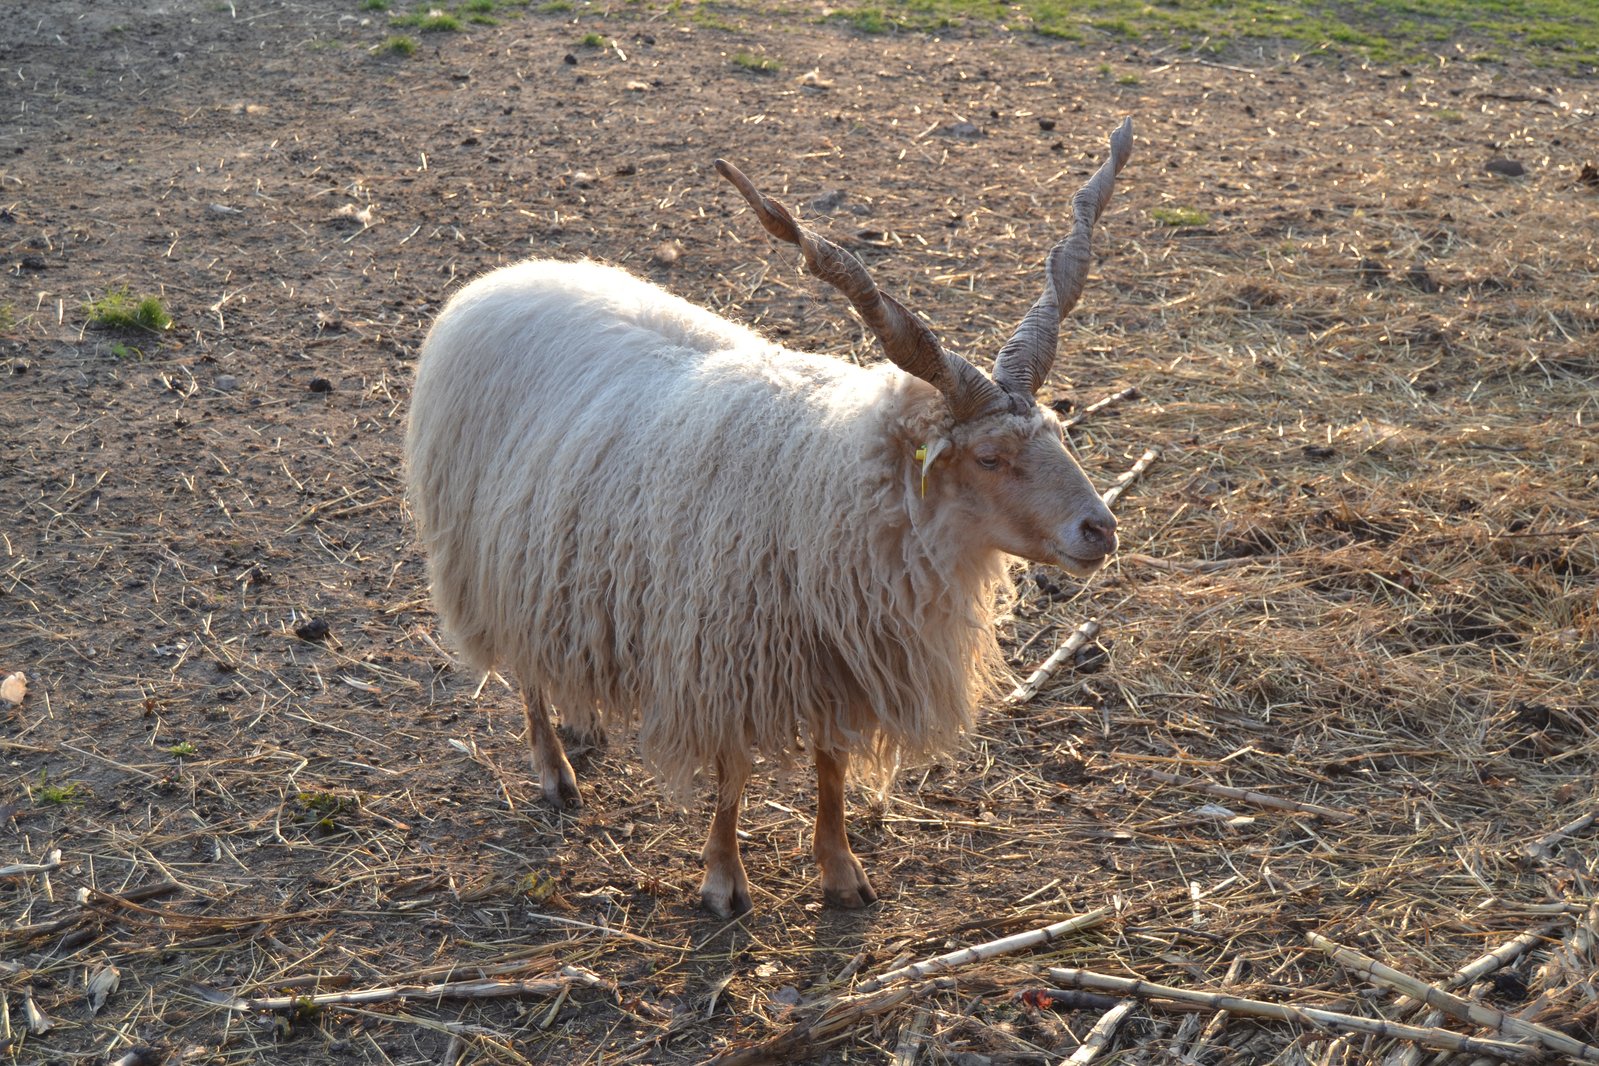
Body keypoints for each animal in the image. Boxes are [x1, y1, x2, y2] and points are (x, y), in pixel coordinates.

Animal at [409, 116, 1138, 920]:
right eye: (987, 458)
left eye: (1058, 432)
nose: (1099, 529)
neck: (825, 481)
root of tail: (504, 279)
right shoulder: (723, 653)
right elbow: (731, 776)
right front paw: (724, 881)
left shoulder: (838, 658)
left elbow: (830, 767)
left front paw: (841, 872)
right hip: (492, 555)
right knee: (526, 673)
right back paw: (554, 770)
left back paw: (583, 722)